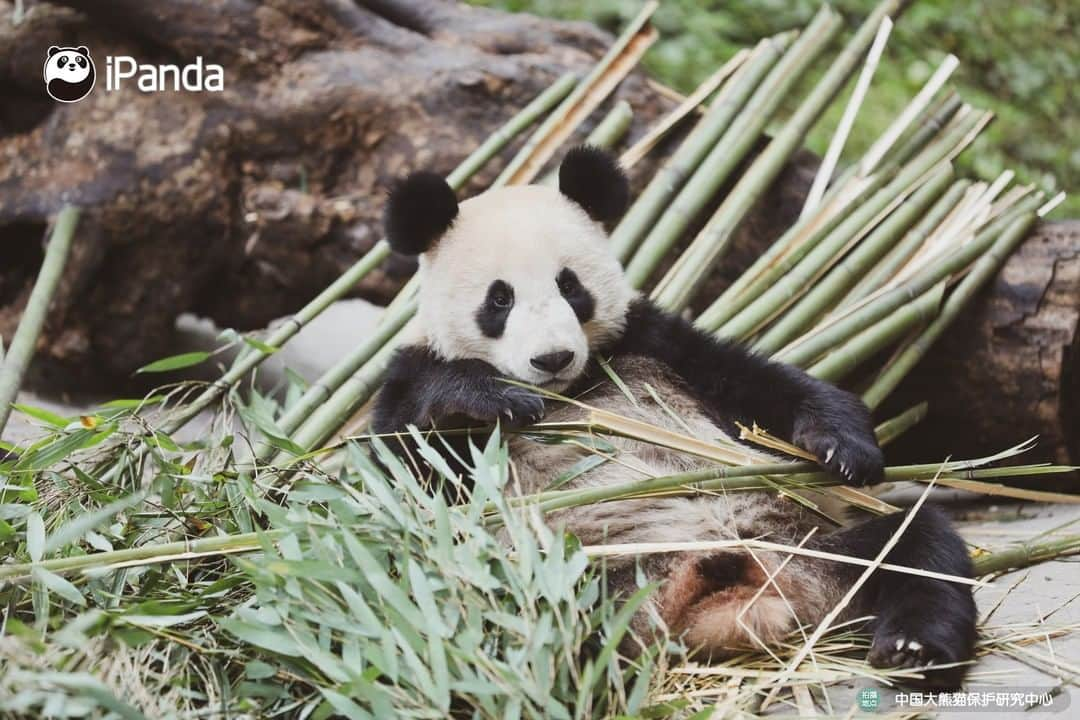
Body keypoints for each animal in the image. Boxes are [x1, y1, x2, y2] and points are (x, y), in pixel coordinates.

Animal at [373, 144, 980, 686]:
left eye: (570, 285)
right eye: (499, 299)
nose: (552, 358)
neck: (574, 388)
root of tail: (728, 600)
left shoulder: (652, 343)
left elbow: (761, 385)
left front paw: (843, 448)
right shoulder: (410, 375)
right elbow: (409, 473)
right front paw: (492, 399)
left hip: (808, 545)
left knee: (917, 548)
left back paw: (914, 649)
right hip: (565, 582)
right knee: (534, 630)